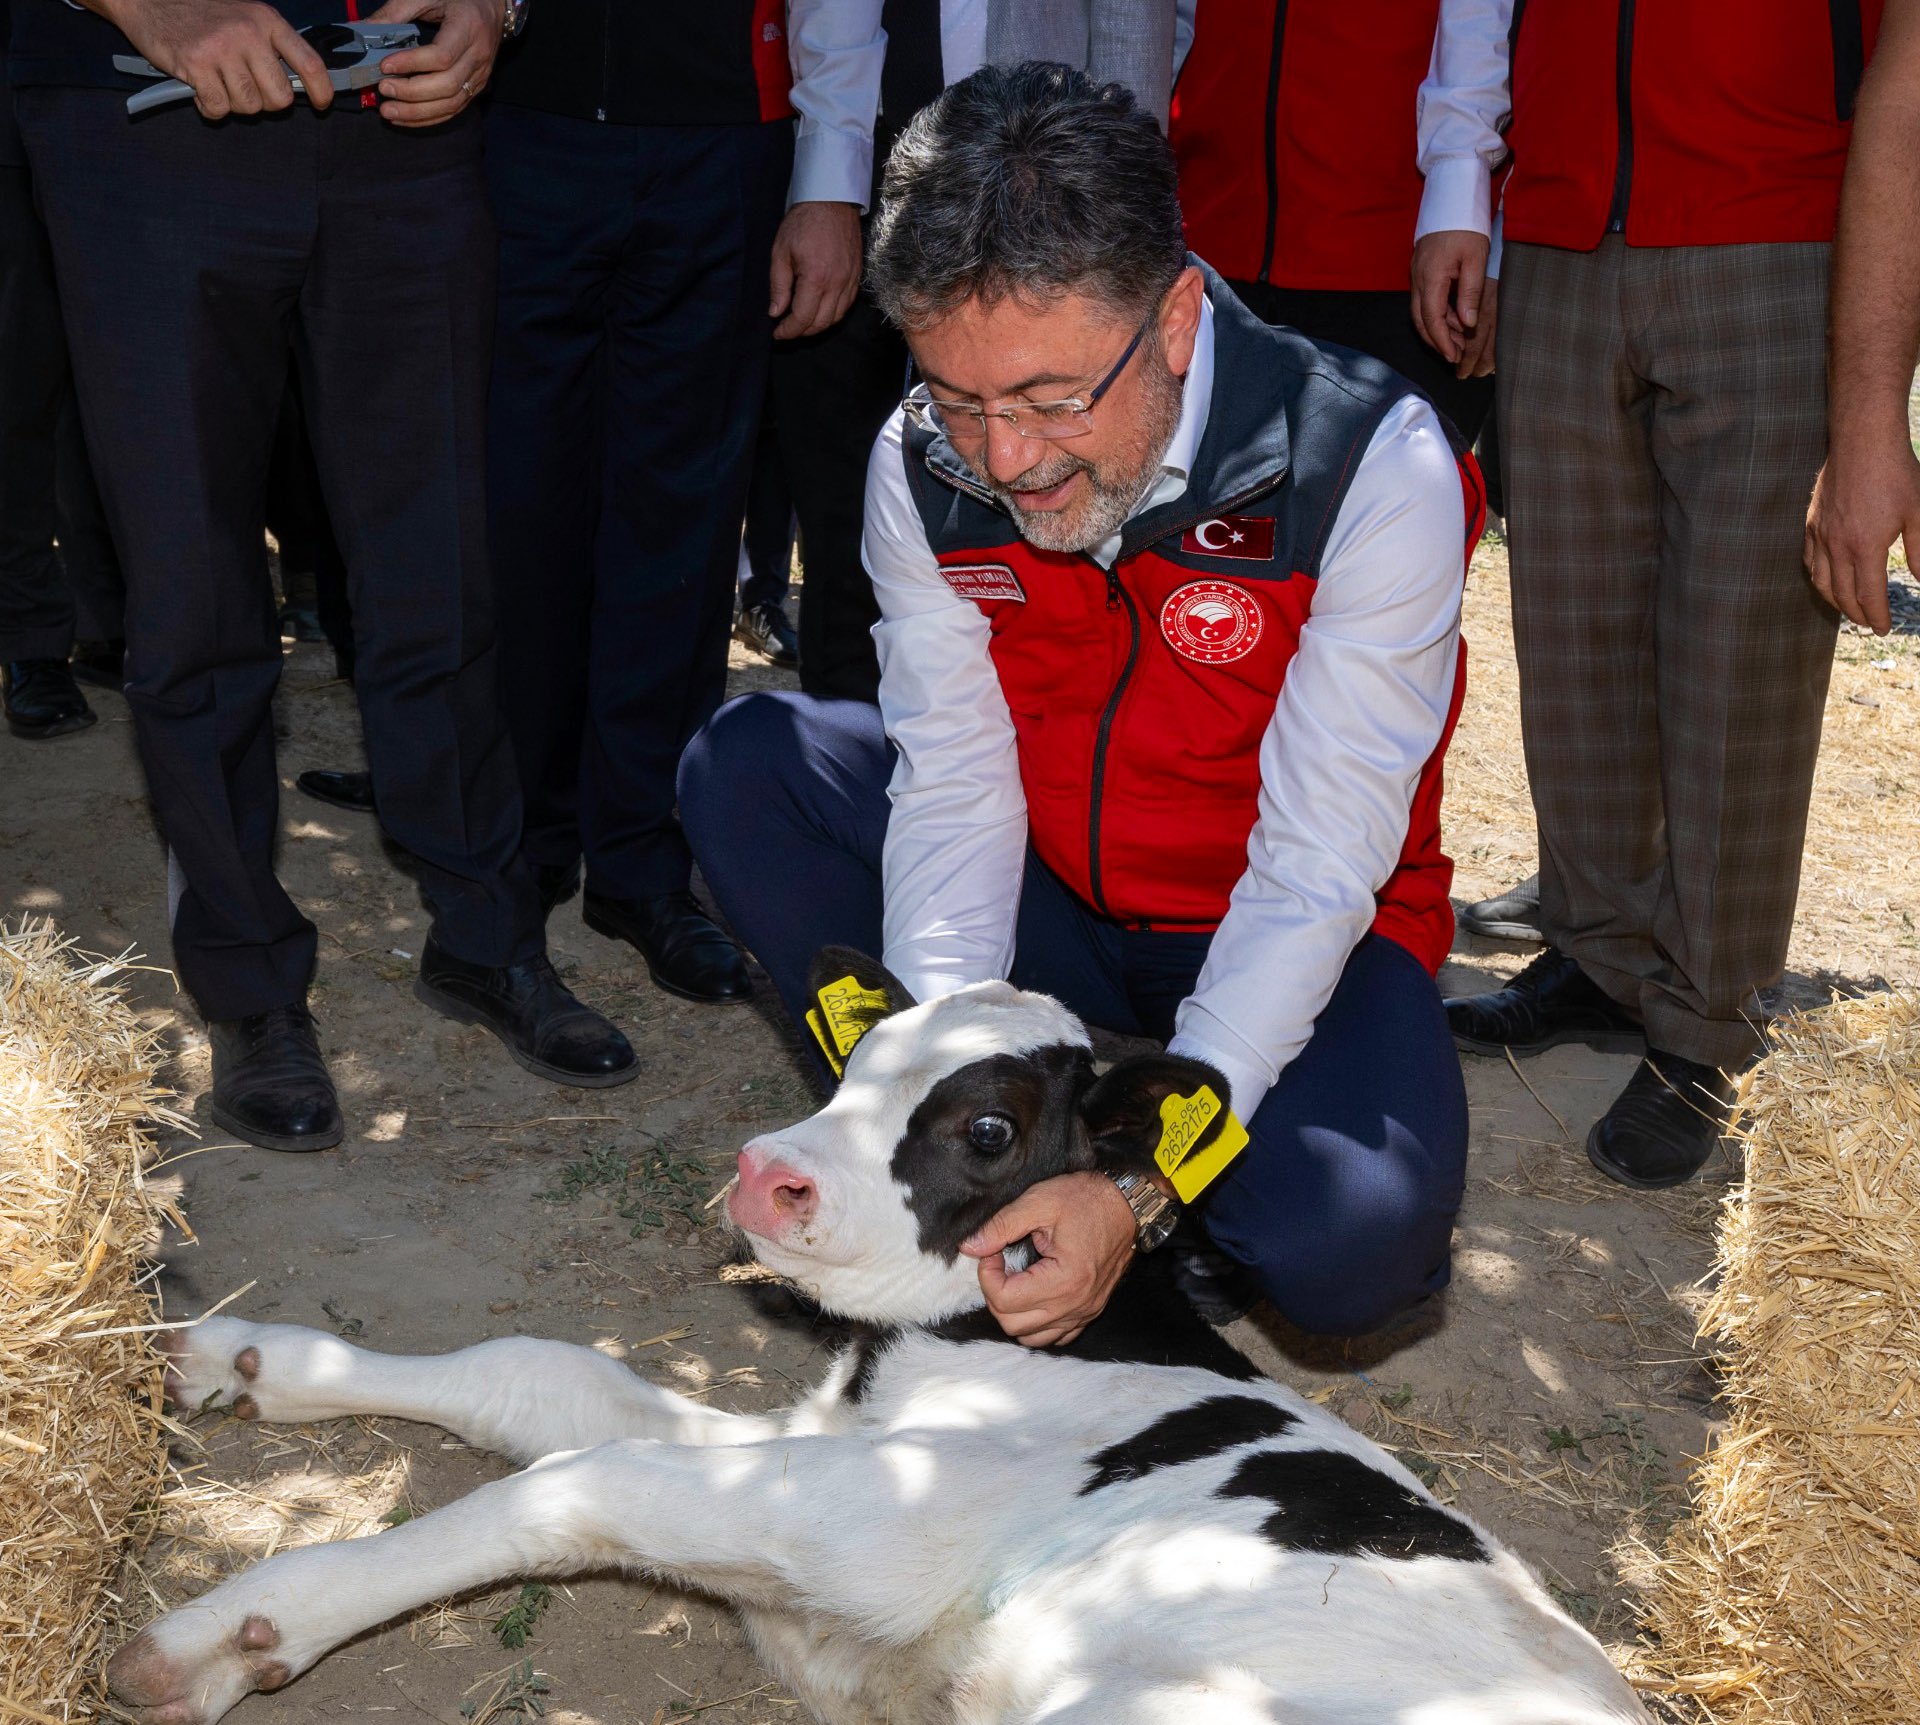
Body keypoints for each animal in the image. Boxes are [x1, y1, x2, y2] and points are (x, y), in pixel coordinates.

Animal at [108, 952, 1651, 1721]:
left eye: (990, 1128)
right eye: (855, 1056)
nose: (766, 1172)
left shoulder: (874, 1526)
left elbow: (572, 1484)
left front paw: (239, 1631)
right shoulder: (818, 1448)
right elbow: (535, 1377)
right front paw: (236, 1359)